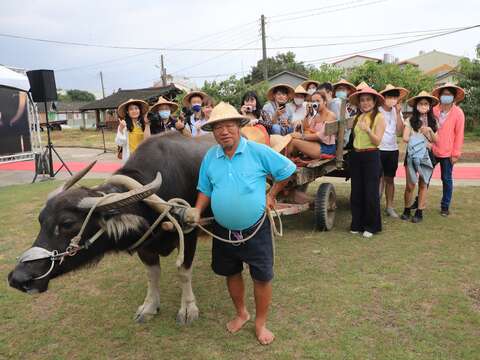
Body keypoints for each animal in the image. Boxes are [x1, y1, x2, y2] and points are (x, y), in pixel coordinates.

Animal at [6, 132, 214, 324]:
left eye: (67, 223)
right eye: (40, 220)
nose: (19, 278)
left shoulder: (189, 234)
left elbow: (184, 273)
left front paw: (188, 309)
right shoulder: (145, 246)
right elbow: (152, 275)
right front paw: (149, 307)